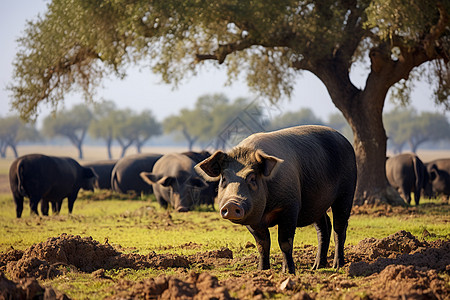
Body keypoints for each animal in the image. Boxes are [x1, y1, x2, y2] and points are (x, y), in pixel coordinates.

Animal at [195, 125, 356, 274]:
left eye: (252, 178)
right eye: (224, 178)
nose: (232, 203)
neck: (266, 210)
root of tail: (344, 140)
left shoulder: (290, 207)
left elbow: (284, 242)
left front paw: (289, 272)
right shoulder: (253, 219)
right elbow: (262, 244)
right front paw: (262, 271)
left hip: (346, 192)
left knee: (339, 228)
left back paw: (338, 266)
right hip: (316, 203)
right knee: (324, 226)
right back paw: (316, 267)